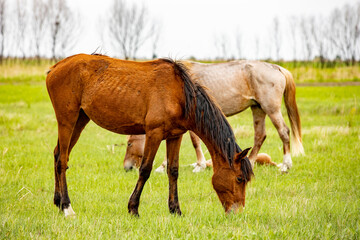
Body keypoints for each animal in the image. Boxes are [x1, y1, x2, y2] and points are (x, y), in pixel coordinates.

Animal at [45, 54, 253, 218]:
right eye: (239, 179)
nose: (237, 213)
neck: (180, 95)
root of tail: (55, 67)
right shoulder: (154, 133)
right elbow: (145, 170)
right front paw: (133, 208)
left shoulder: (175, 136)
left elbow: (173, 171)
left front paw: (175, 210)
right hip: (67, 120)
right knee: (62, 160)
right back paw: (67, 207)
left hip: (80, 120)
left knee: (57, 154)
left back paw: (58, 202)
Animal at [124, 60, 304, 172]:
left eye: (129, 144)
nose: (127, 167)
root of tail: (277, 68)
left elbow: (194, 141)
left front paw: (198, 165)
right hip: (257, 108)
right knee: (260, 136)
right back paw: (251, 163)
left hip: (271, 109)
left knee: (284, 132)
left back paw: (286, 165)